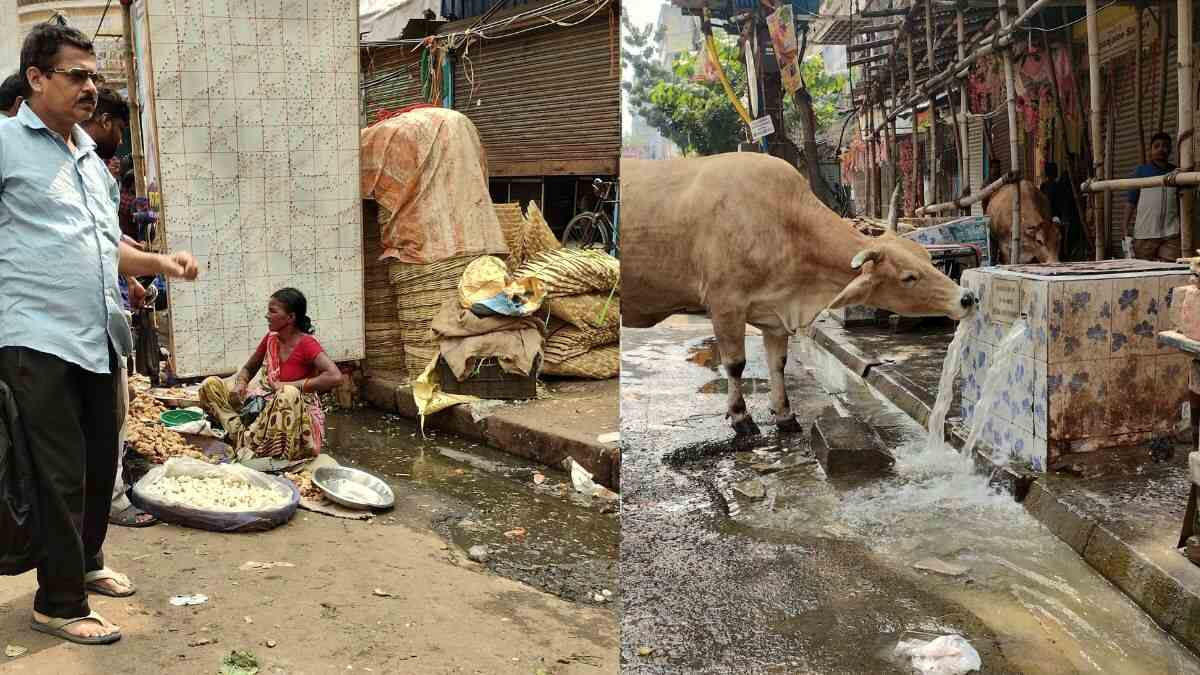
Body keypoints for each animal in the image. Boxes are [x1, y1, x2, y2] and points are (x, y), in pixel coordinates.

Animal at [619, 151, 974, 437]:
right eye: (909, 277)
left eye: (927, 257)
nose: (966, 298)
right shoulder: (725, 305)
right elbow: (735, 364)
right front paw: (741, 418)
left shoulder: (775, 313)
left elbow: (778, 364)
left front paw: (785, 415)